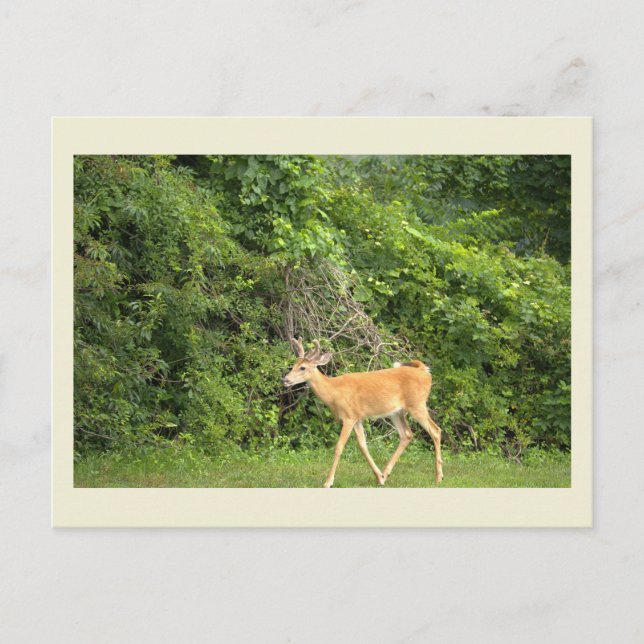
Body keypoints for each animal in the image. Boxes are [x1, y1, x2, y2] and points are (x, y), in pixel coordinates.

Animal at [282, 337, 443, 488]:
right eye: (293, 365)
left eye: (302, 367)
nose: (285, 379)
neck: (334, 392)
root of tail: (423, 371)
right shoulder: (357, 417)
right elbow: (363, 446)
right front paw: (379, 478)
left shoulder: (348, 417)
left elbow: (339, 447)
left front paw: (328, 482)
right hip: (396, 411)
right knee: (407, 434)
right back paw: (386, 473)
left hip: (417, 404)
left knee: (435, 430)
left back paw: (438, 477)